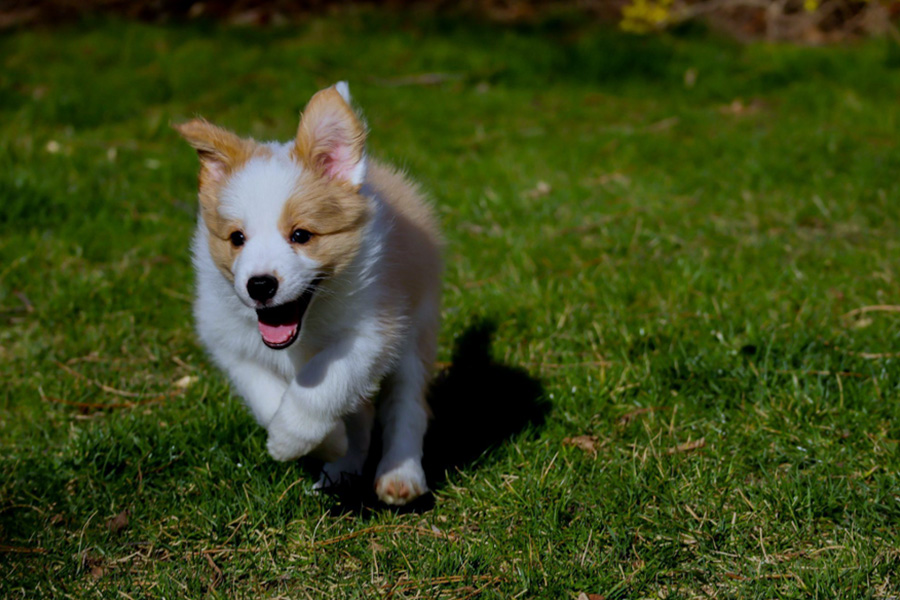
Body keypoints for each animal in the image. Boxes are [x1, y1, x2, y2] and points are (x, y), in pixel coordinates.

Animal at [174, 82, 442, 504]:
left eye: (301, 235)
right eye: (237, 238)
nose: (259, 285)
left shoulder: (373, 331)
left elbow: (321, 383)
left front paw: (289, 440)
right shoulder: (228, 341)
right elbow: (267, 395)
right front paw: (327, 442)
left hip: (418, 328)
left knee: (407, 405)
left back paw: (400, 475)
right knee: (364, 413)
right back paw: (343, 467)